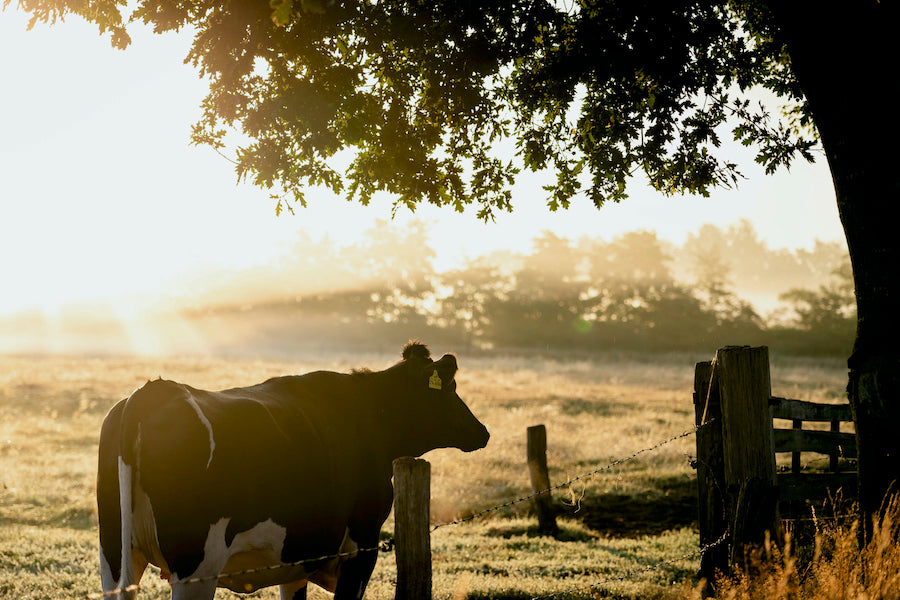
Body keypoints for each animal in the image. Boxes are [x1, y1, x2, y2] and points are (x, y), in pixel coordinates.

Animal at [97, 341, 490, 600]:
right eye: (450, 388)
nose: (482, 432)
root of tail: (154, 391)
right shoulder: (362, 545)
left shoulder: (298, 555)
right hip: (196, 566)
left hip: (115, 557)